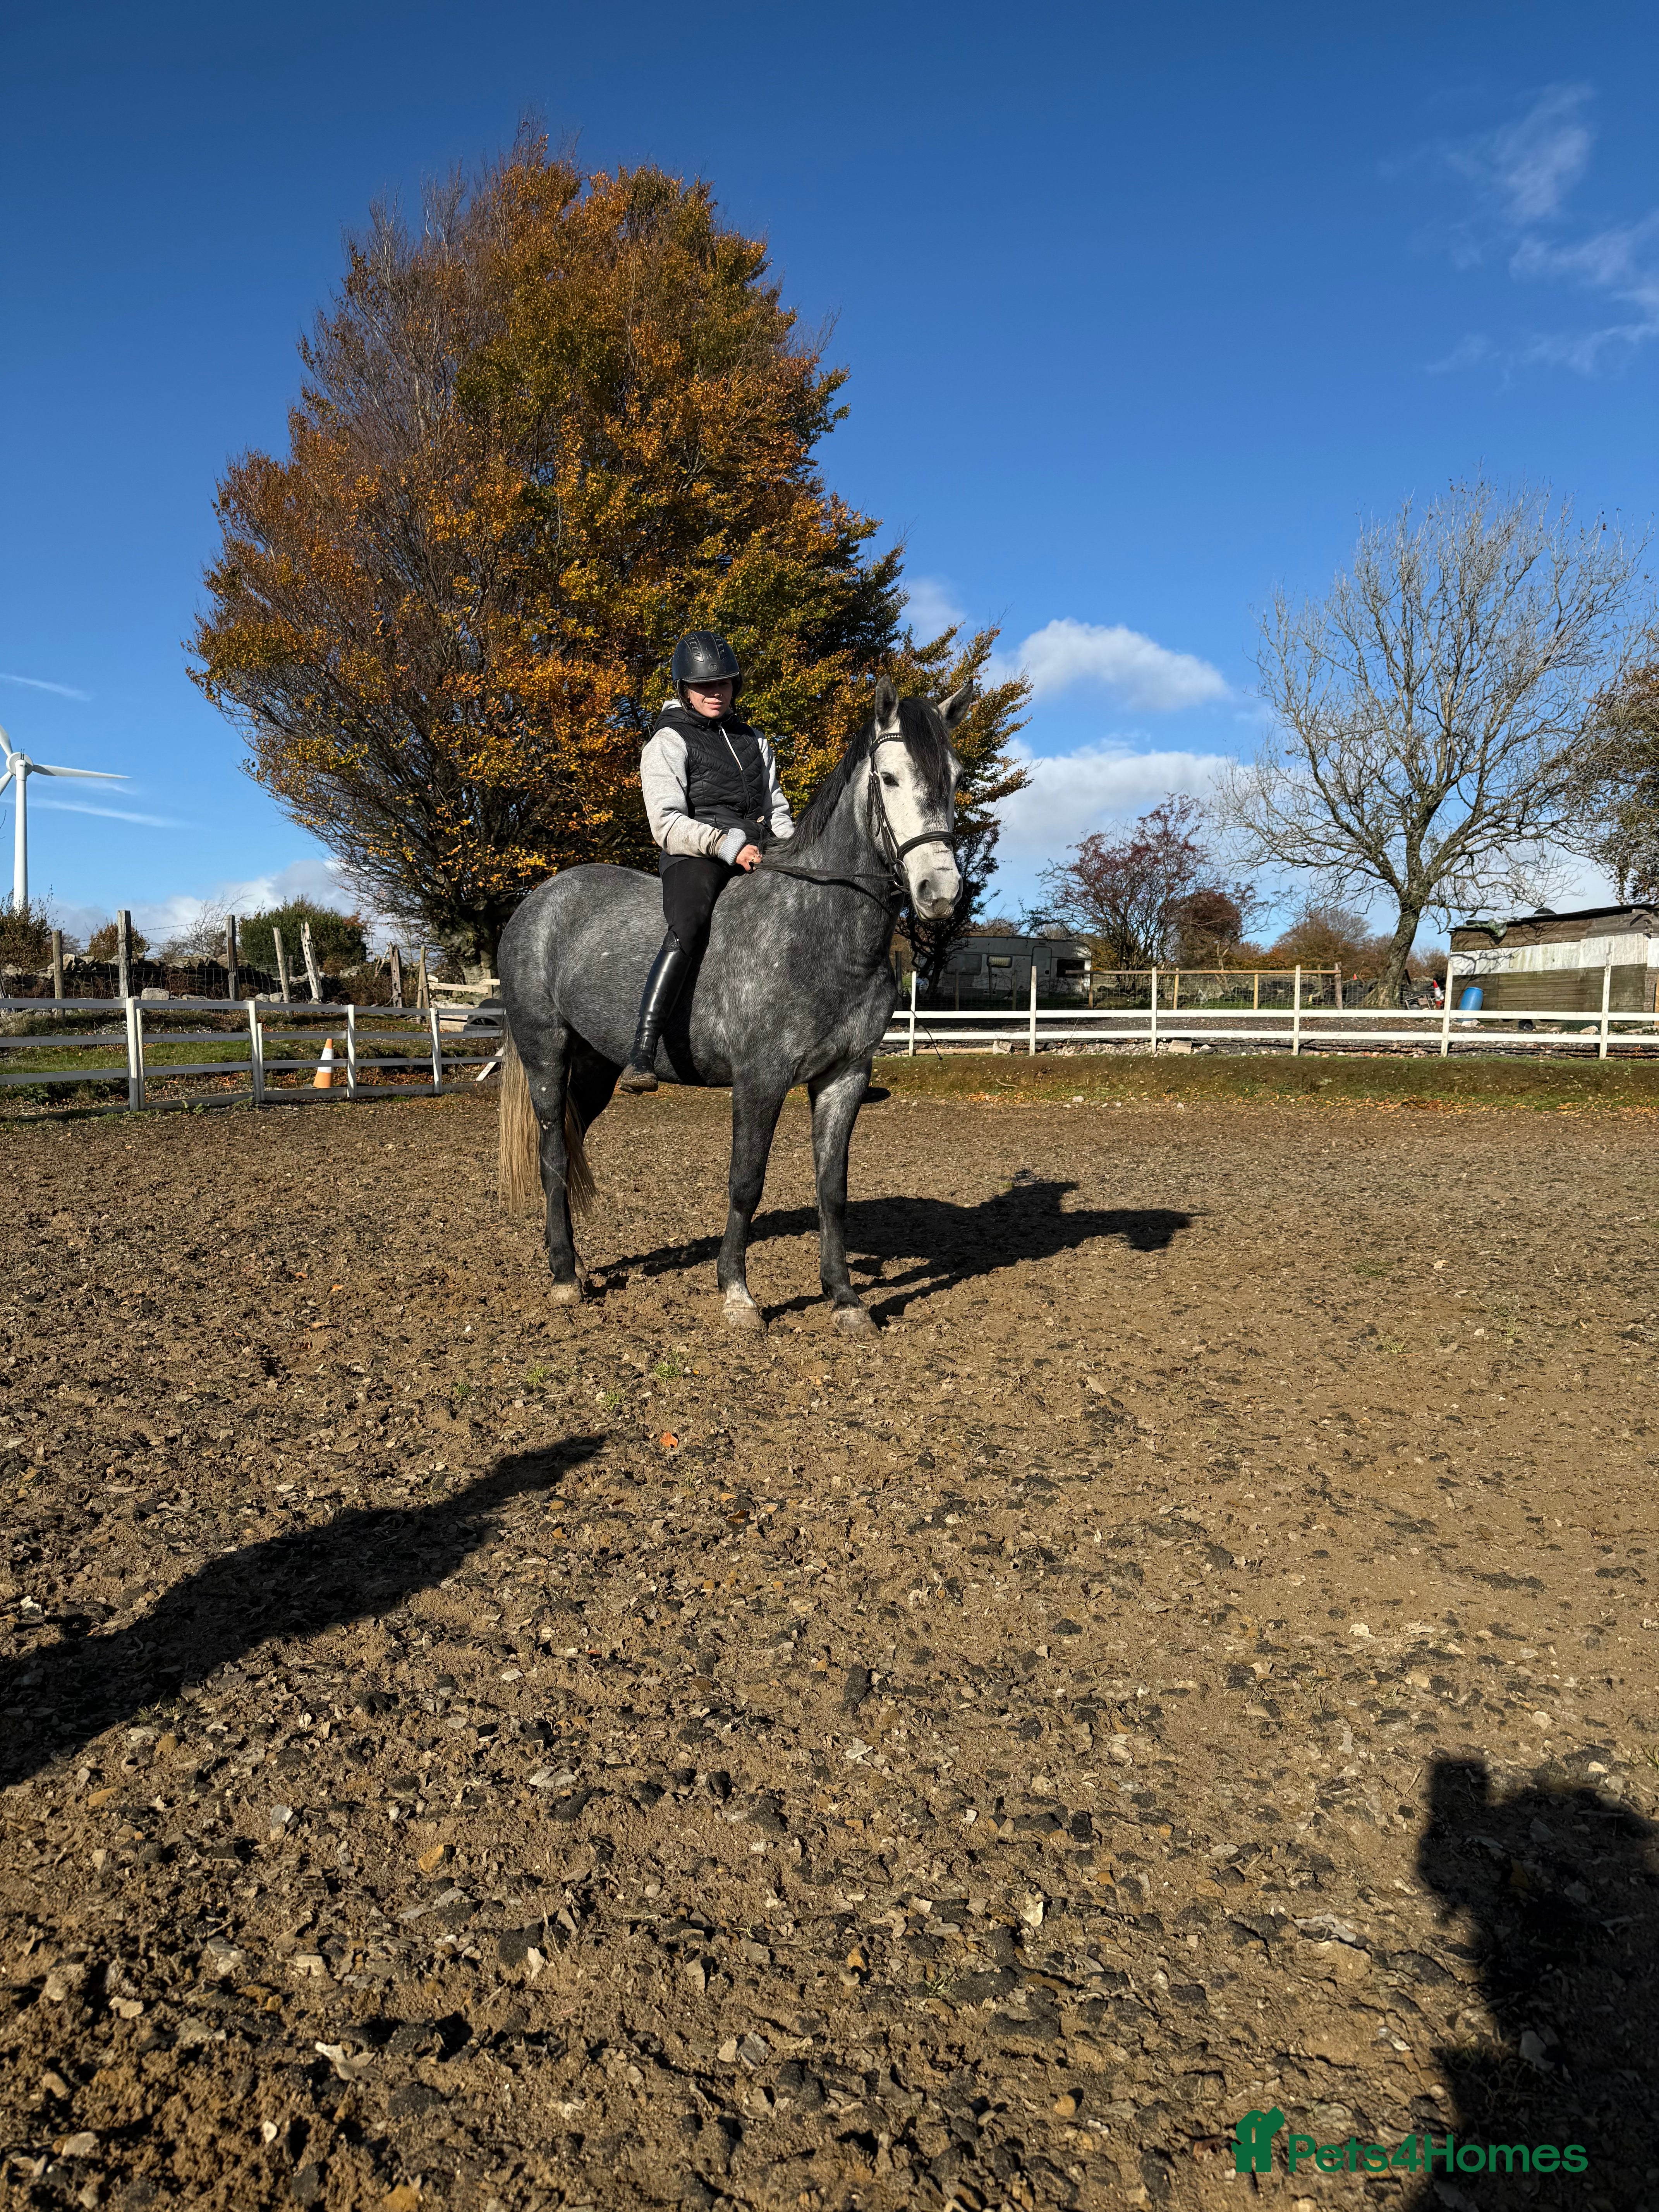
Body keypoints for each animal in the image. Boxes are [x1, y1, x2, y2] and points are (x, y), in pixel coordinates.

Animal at [496, 675, 972, 1334]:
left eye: (954, 776)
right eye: (890, 778)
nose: (940, 892)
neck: (821, 929)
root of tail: (537, 904)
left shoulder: (845, 1077)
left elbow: (833, 1189)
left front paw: (845, 1299)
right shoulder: (760, 1079)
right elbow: (746, 1182)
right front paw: (738, 1295)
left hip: (593, 1068)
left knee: (568, 1148)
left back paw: (575, 1263)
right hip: (547, 1055)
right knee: (550, 1155)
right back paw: (566, 1278)